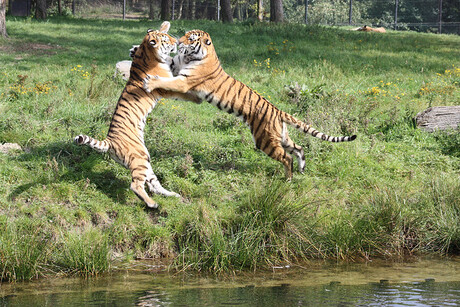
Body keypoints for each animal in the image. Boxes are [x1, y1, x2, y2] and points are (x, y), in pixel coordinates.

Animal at [74, 21, 199, 209]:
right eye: (166, 40)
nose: (176, 42)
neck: (147, 53)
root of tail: (109, 141)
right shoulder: (167, 82)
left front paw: (164, 25)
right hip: (140, 159)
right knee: (136, 185)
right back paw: (152, 204)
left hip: (145, 161)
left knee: (153, 184)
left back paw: (171, 195)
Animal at [144, 29, 356, 180]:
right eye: (185, 36)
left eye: (190, 39)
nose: (179, 41)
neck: (191, 56)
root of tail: (278, 111)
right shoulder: (177, 67)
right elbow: (169, 66)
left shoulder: (184, 80)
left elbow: (167, 81)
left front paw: (150, 82)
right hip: (281, 136)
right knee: (299, 148)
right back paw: (302, 168)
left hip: (265, 140)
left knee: (286, 157)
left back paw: (288, 179)